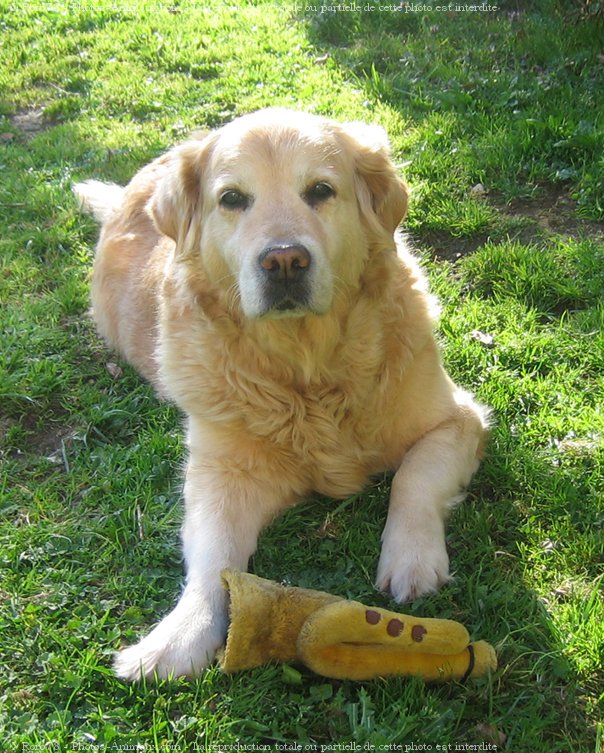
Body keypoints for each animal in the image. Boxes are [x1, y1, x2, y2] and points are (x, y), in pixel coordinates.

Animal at [75, 108, 490, 680]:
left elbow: (415, 477)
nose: (285, 261)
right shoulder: (223, 472)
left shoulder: (458, 420)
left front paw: (412, 557)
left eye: (320, 190)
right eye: (232, 198)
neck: (307, 371)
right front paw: (180, 635)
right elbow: (213, 557)